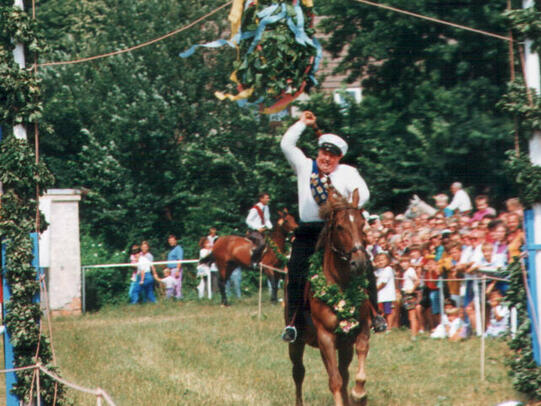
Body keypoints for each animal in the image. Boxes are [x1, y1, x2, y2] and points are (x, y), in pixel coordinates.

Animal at [288, 190, 374, 406]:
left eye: (362, 224)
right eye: (340, 226)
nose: (359, 263)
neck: (341, 283)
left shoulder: (361, 328)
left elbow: (359, 359)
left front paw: (359, 393)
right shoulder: (325, 337)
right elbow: (334, 380)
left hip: (343, 346)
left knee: (344, 373)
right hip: (296, 343)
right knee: (298, 372)